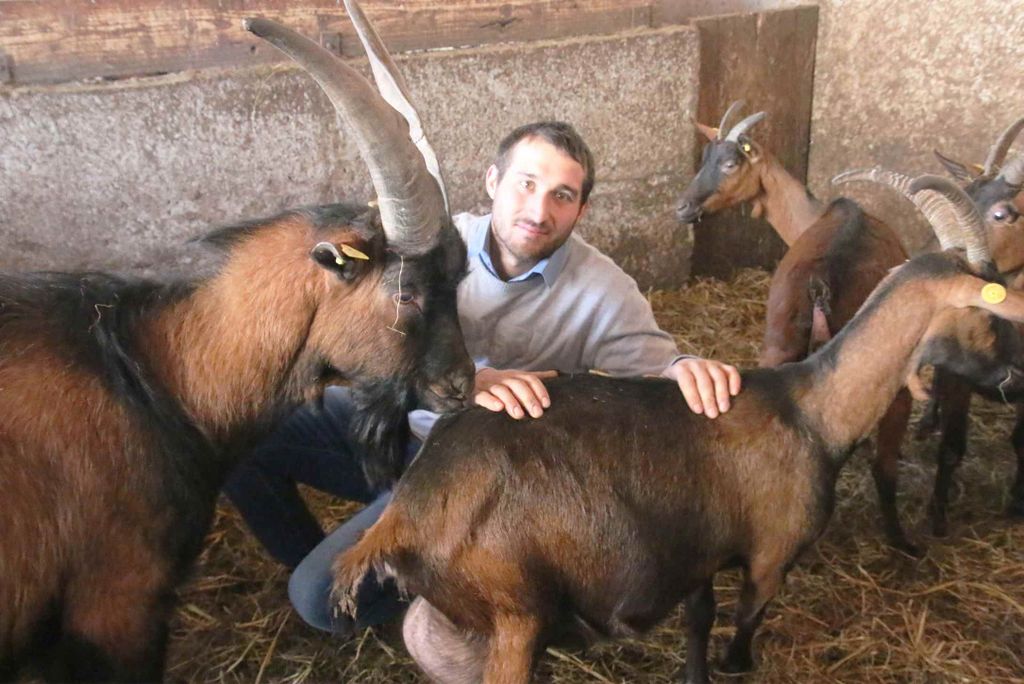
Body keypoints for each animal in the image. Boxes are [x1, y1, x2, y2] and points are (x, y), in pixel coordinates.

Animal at [333, 178, 1024, 684]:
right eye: (990, 313)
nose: (1011, 377)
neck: (810, 408)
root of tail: (404, 515)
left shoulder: (699, 554)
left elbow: (700, 618)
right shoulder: (772, 553)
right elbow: (746, 618)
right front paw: (738, 665)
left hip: (462, 617)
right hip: (513, 611)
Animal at [675, 104, 918, 554]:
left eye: (729, 162)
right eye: (704, 159)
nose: (682, 208)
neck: (818, 215)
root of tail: (821, 286)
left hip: (778, 346)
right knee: (885, 465)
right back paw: (905, 544)